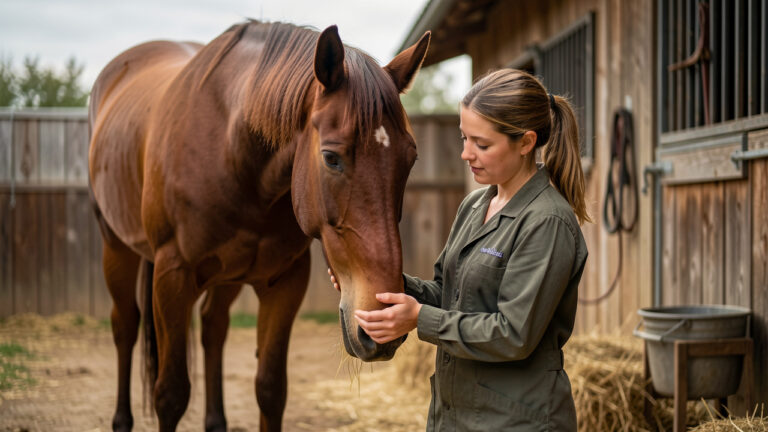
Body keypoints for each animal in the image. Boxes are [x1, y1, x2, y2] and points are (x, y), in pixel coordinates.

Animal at [88, 20, 430, 431]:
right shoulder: (172, 277)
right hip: (115, 247)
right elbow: (170, 394)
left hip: (227, 277)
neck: (232, 149)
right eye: (331, 158)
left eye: (410, 159)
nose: (383, 328)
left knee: (213, 328)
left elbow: (270, 388)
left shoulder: (285, 282)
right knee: (125, 326)